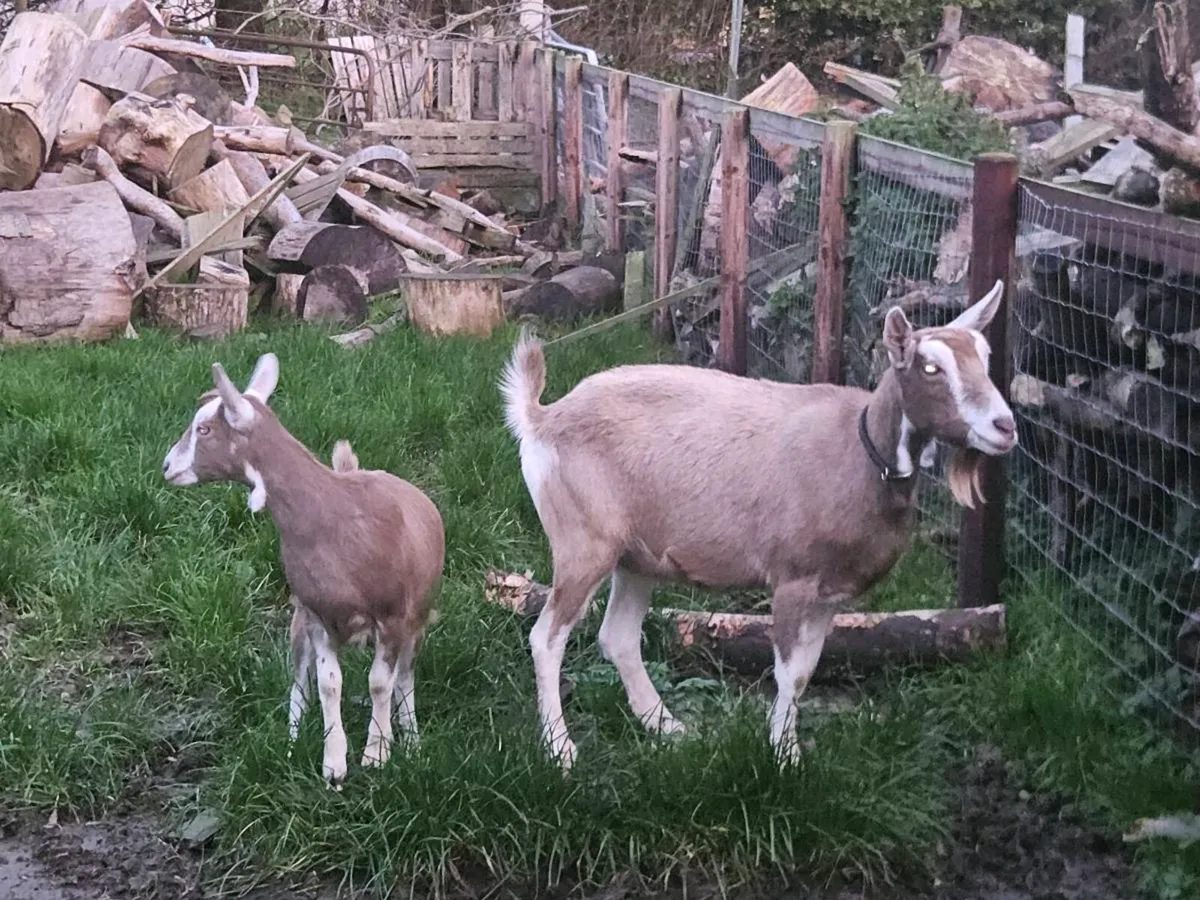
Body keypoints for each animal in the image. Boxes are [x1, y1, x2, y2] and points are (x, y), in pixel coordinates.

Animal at [162, 353, 445, 786]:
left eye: (204, 428)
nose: (166, 467)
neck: (332, 515)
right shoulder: (317, 615)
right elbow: (329, 685)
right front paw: (334, 764)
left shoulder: (394, 616)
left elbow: (381, 684)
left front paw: (378, 753)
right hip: (298, 621)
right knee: (300, 680)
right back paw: (292, 742)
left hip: (419, 618)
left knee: (405, 676)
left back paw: (410, 740)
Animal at [500, 280, 1017, 770]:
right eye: (930, 368)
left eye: (986, 357)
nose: (1004, 426)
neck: (860, 448)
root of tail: (542, 418)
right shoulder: (793, 577)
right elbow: (788, 671)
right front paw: (784, 758)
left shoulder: (832, 592)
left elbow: (807, 670)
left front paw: (786, 748)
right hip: (584, 541)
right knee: (547, 638)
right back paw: (560, 749)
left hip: (637, 555)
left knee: (619, 636)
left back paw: (666, 727)